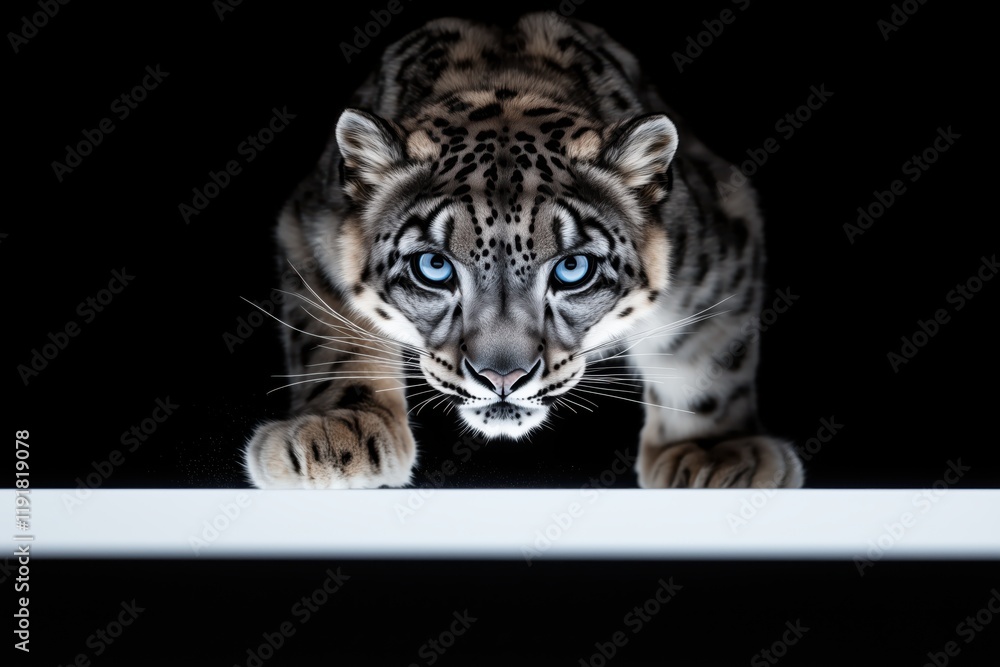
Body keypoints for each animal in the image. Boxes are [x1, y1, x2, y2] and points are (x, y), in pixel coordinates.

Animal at [243, 11, 804, 490]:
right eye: (434, 266)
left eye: (573, 268)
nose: (502, 376)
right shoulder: (309, 227)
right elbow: (331, 335)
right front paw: (333, 433)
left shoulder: (718, 252)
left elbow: (708, 354)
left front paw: (715, 452)